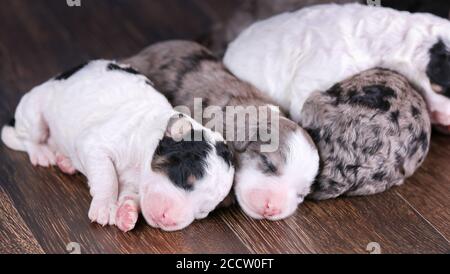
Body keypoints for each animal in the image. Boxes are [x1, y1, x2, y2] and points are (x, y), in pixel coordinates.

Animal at [2, 60, 236, 231]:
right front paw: (105, 206)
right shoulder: (96, 145)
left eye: (203, 211)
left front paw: (127, 212)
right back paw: (41, 152)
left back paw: (66, 162)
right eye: (184, 178)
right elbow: (107, 178)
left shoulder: (135, 184)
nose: (168, 220)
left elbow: (131, 195)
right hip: (34, 111)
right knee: (27, 137)